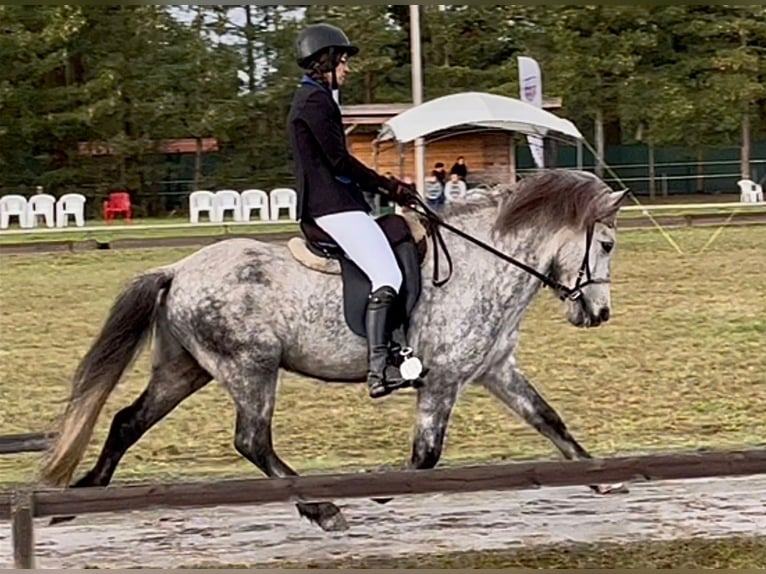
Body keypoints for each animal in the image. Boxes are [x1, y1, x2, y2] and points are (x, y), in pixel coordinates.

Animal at [39, 169, 629, 532]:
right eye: (605, 244)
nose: (599, 314)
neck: (483, 261)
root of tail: (178, 269)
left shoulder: (494, 370)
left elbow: (550, 421)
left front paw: (602, 478)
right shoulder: (443, 380)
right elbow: (426, 455)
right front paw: (384, 492)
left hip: (185, 370)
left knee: (127, 421)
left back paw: (82, 496)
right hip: (251, 369)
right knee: (252, 441)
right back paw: (322, 507)